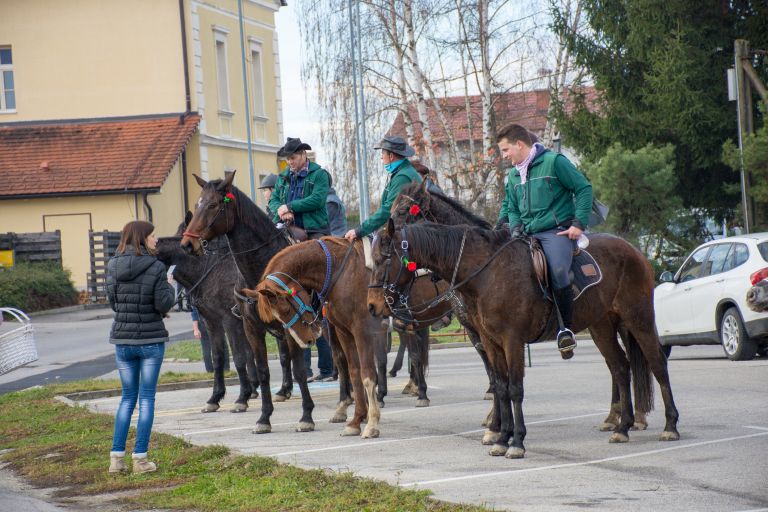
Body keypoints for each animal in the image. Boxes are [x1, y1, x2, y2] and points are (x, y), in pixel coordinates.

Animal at [368, 220, 680, 460]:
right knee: (621, 368)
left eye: (385, 258)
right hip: (602, 326)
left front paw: (516, 441)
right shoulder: (491, 342)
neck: (486, 274)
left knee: (657, 365)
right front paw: (501, 437)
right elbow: (501, 387)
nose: (373, 306)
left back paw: (670, 425)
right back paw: (622, 427)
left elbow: (515, 389)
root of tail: (632, 249)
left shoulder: (512, 341)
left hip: (638, 319)